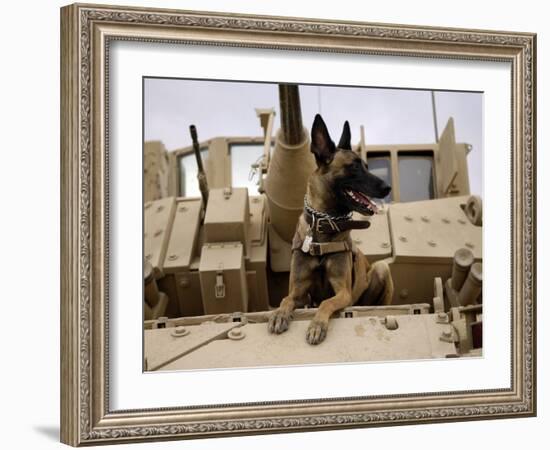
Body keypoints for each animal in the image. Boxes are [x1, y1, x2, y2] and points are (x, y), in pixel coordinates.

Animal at [268, 113, 394, 344]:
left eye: (366, 165)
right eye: (354, 166)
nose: (387, 187)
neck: (323, 225)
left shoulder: (343, 292)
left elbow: (327, 302)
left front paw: (317, 325)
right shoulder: (299, 292)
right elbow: (286, 299)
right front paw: (280, 315)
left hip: (381, 269)